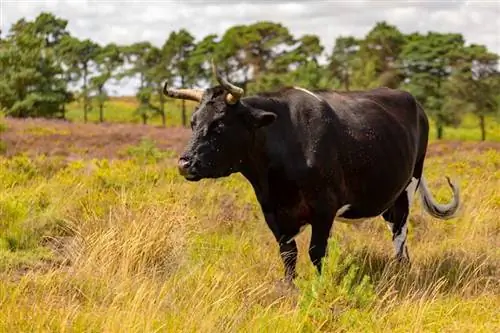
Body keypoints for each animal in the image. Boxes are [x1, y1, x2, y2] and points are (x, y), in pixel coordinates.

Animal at [162, 65, 458, 282]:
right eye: (193, 122)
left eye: (220, 125)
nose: (185, 163)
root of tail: (410, 99)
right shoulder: (273, 213)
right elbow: (288, 253)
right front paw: (289, 287)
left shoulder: (324, 208)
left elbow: (316, 252)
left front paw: (319, 287)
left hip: (408, 187)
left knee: (399, 233)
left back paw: (400, 272)